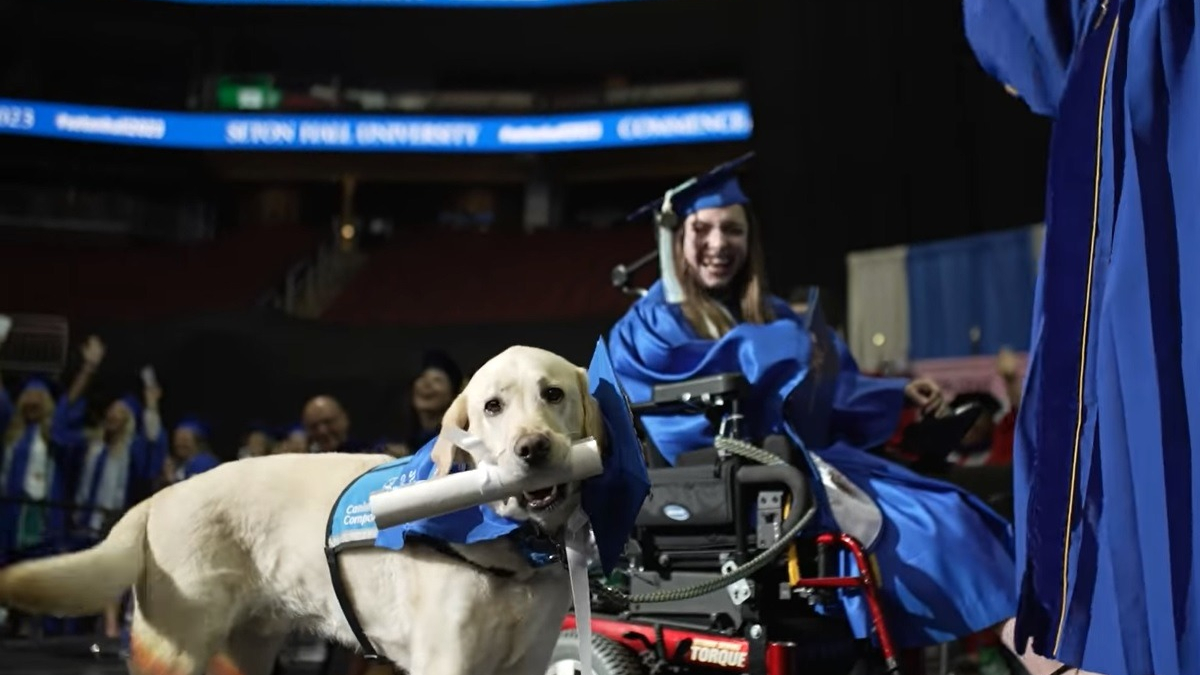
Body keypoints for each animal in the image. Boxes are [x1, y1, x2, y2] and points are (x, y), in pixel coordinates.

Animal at [0, 345, 600, 672]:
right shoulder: (446, 661)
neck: (510, 547)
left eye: (552, 394)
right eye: (492, 407)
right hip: (176, 648)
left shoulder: (528, 661)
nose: (533, 449)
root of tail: (158, 496)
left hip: (242, 652)